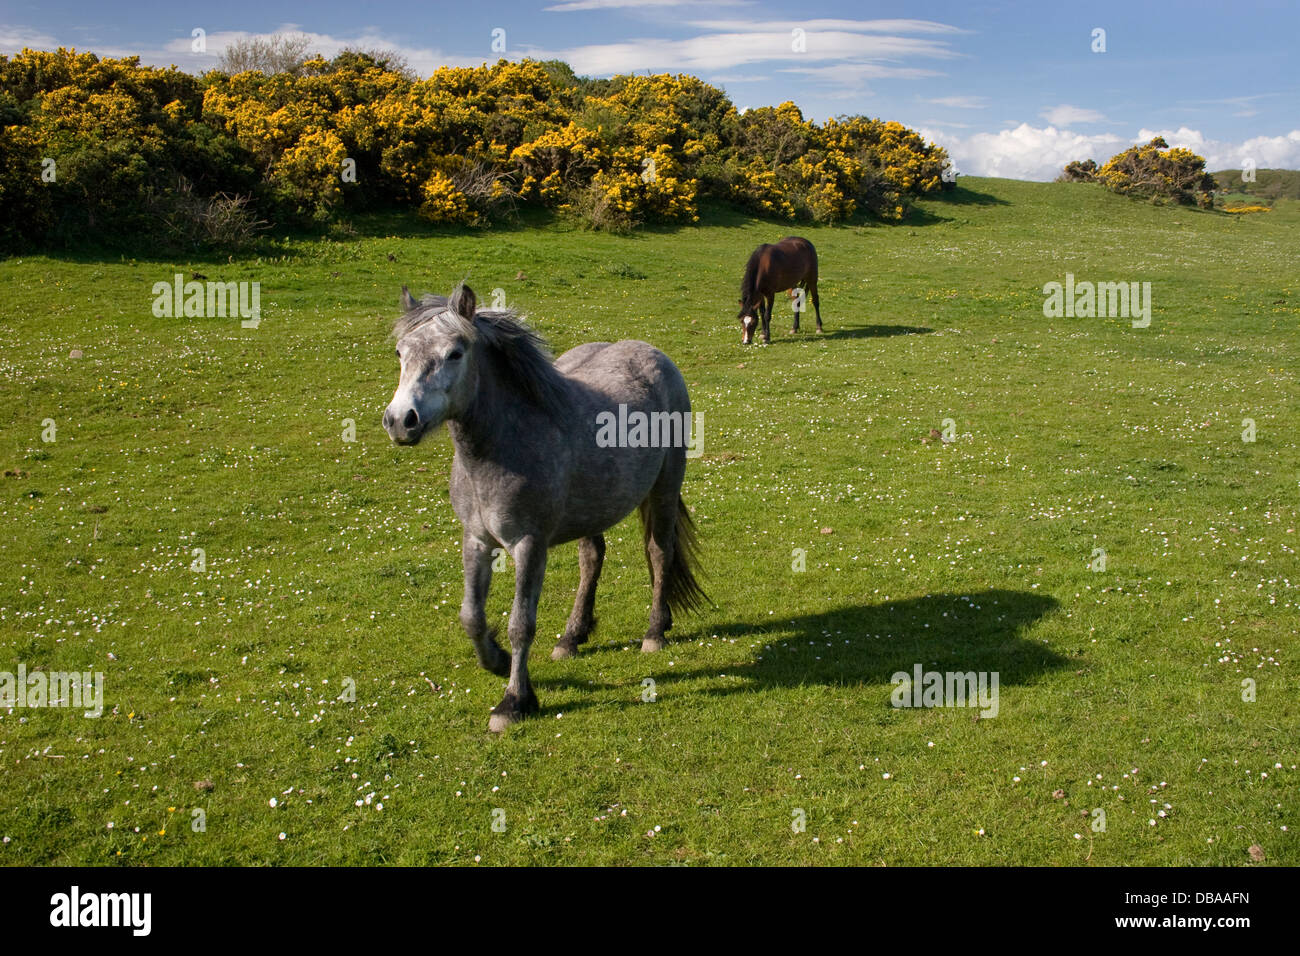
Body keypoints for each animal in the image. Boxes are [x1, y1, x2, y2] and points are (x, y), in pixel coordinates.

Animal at [379, 283, 707, 733]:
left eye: (455, 353)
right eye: (400, 352)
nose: (401, 420)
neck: (503, 444)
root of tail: (653, 354)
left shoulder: (529, 545)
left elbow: (521, 624)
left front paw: (514, 700)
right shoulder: (476, 540)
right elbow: (471, 617)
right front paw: (498, 661)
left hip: (665, 488)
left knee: (660, 553)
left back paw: (655, 631)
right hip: (592, 507)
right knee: (592, 559)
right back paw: (572, 636)